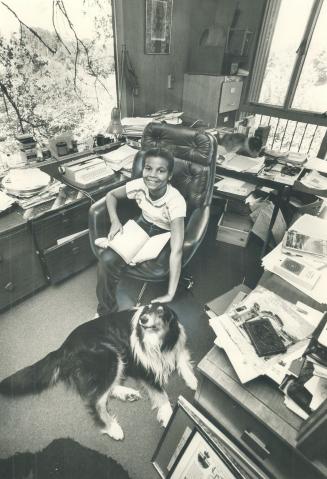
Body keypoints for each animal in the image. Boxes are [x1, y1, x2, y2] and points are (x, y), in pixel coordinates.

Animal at [0, 306, 197, 440]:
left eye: (161, 312)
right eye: (146, 311)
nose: (143, 319)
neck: (161, 341)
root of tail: (63, 347)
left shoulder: (176, 347)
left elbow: (182, 360)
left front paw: (193, 381)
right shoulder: (142, 366)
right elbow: (160, 391)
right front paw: (167, 413)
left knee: (104, 389)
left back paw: (127, 394)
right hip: (110, 355)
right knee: (95, 400)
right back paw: (112, 428)